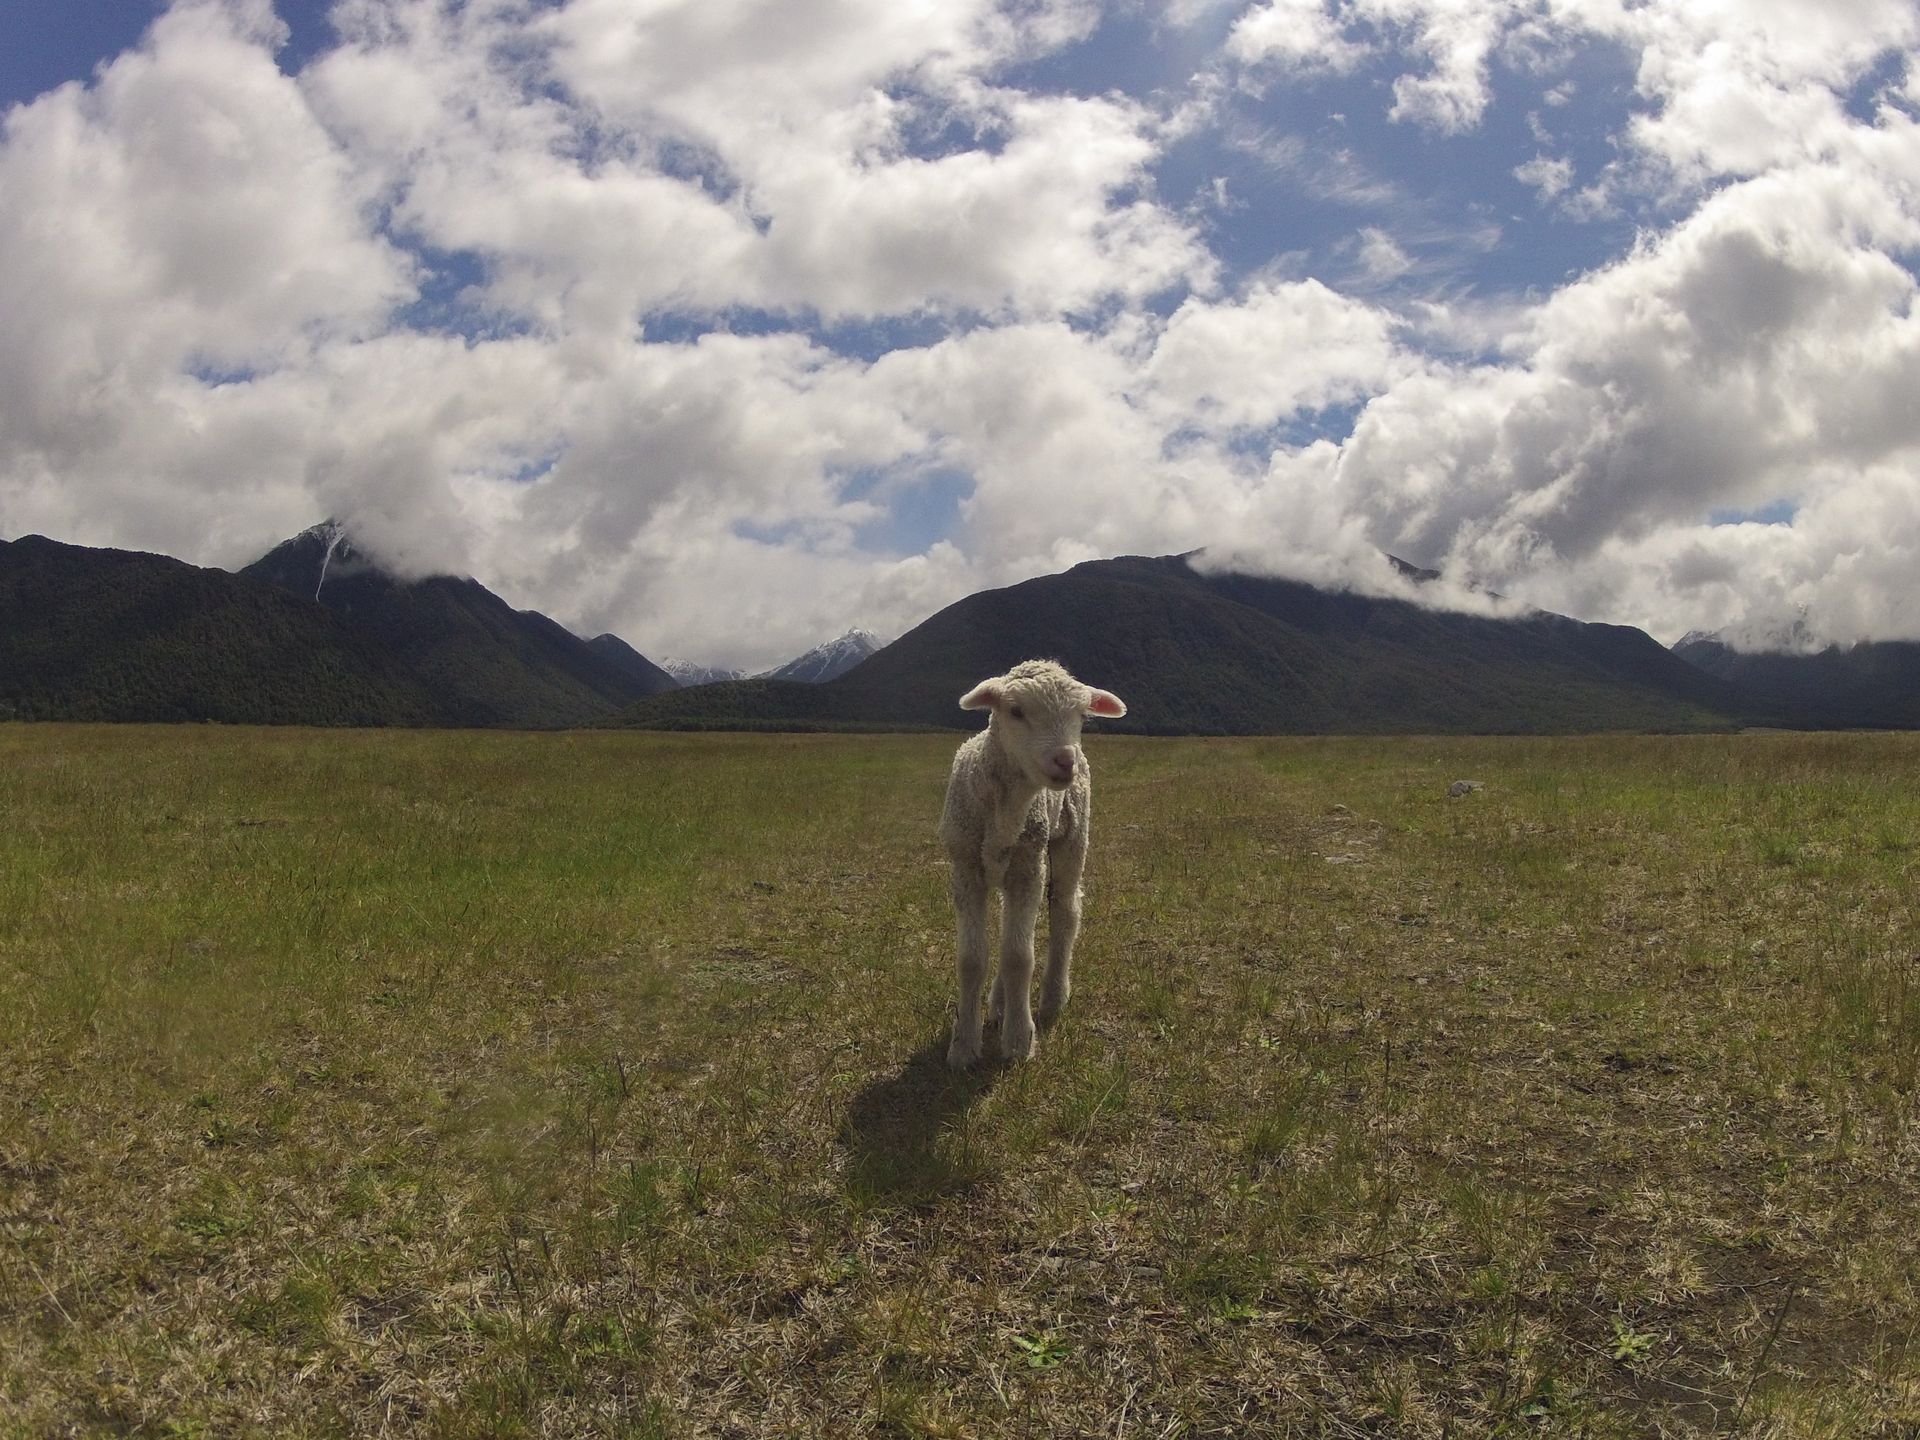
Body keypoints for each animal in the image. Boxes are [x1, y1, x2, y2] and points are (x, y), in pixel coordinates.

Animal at [938, 659, 1127, 1068]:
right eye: (1016, 711)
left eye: (1082, 716)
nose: (1065, 760)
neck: (1006, 814)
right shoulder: (966, 868)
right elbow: (972, 959)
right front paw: (964, 1045)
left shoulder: (1027, 869)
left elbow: (1018, 956)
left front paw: (1018, 1040)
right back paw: (999, 1003)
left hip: (1071, 836)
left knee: (1065, 912)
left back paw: (1053, 997)